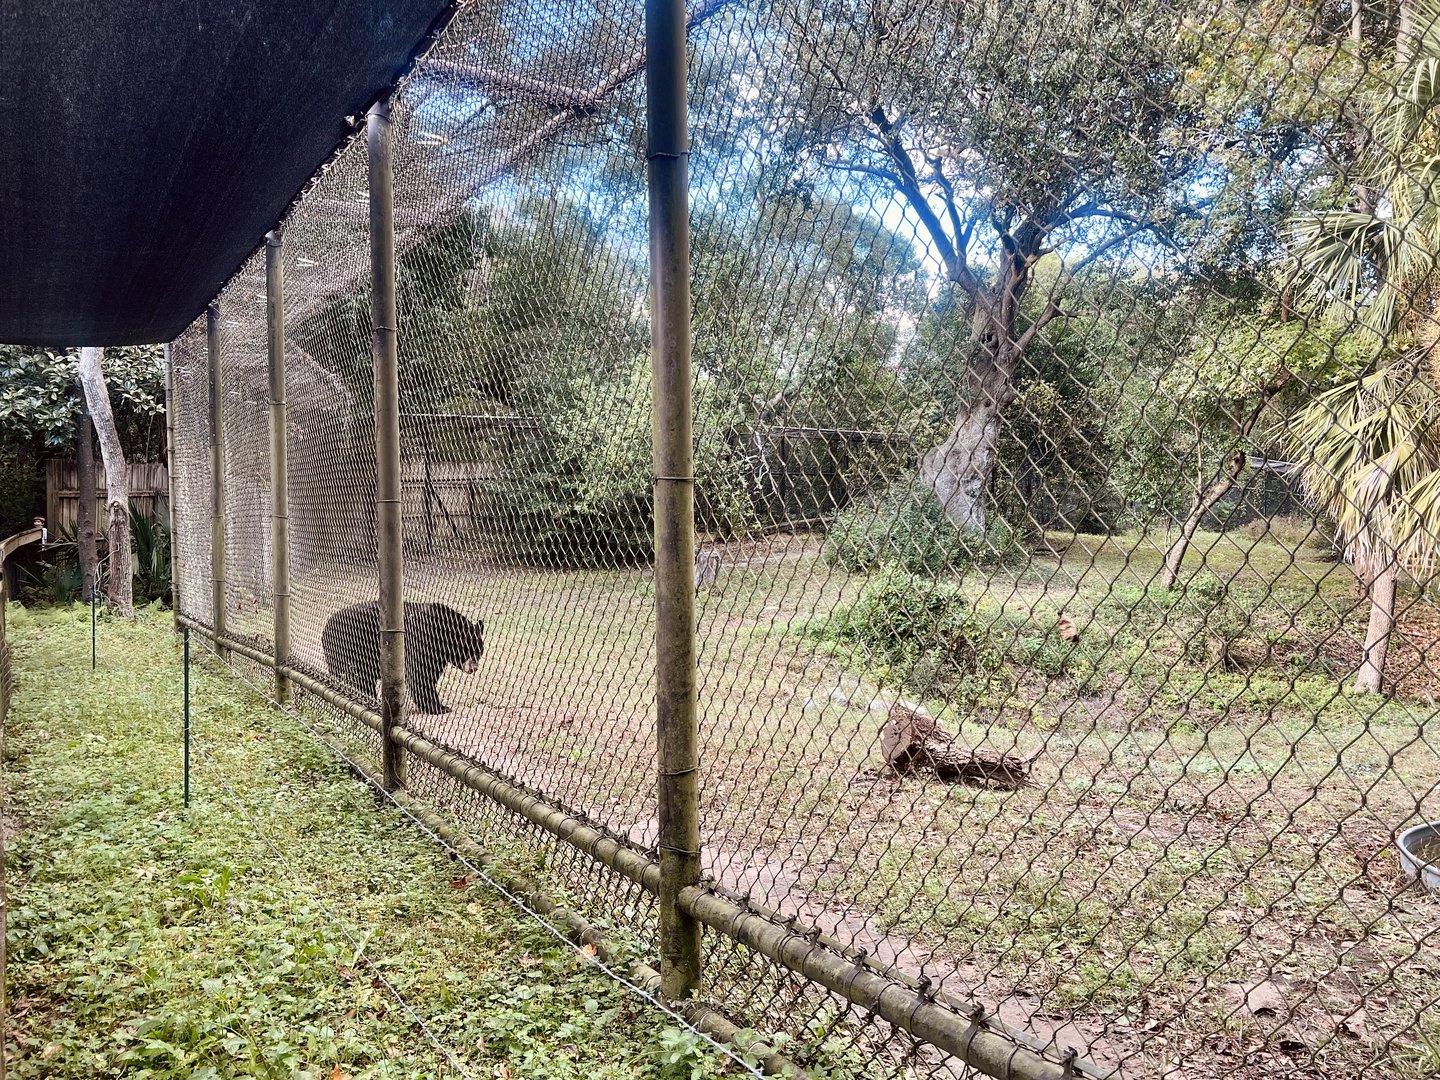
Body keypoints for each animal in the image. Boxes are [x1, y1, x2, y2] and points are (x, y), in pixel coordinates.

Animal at [321, 600, 484, 715]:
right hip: (349, 647)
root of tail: (326, 627)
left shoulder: (438, 655)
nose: (474, 668)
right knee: (359, 677)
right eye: (469, 650)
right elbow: (421, 676)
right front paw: (440, 708)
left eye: (480, 652)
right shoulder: (421, 640)